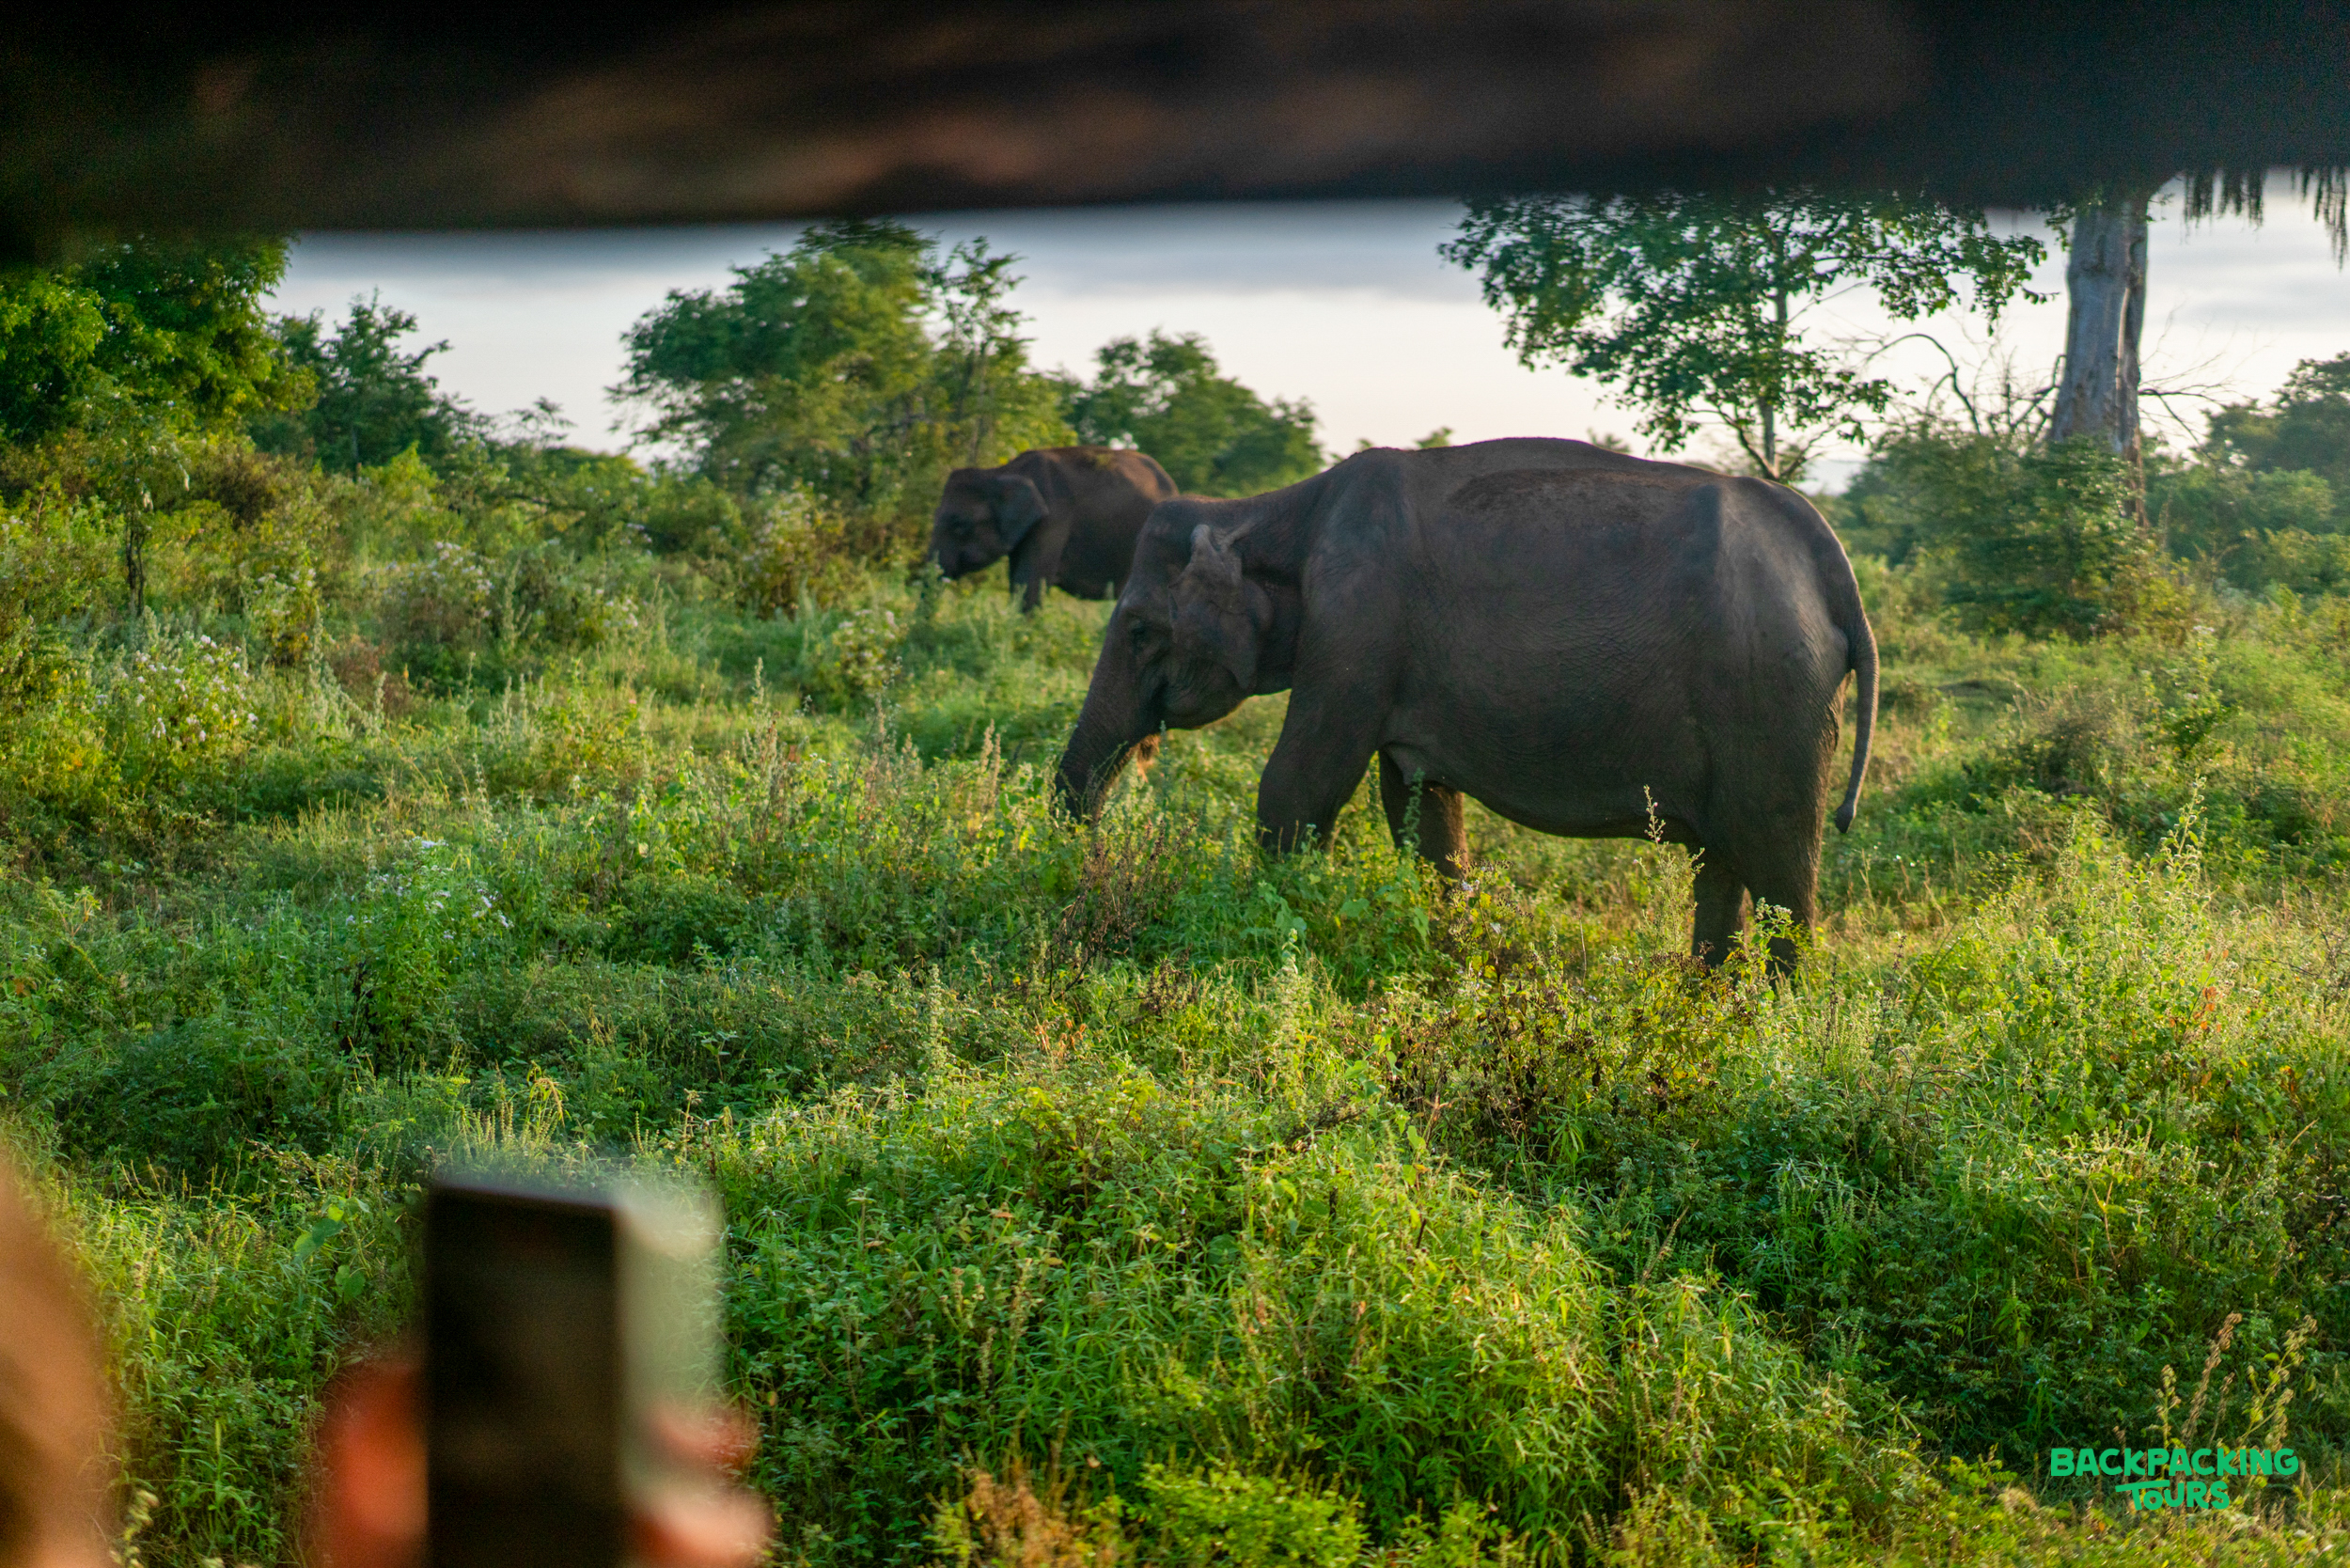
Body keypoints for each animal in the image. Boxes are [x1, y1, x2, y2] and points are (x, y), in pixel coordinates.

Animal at [1055, 438, 1878, 965]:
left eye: (1137, 629)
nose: (1084, 860)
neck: (1276, 508)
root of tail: (1833, 567)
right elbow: (1420, 809)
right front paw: (1448, 964)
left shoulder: (1354, 626)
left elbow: (1300, 782)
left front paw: (1281, 928)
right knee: (1723, 866)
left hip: (1772, 700)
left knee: (1779, 873)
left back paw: (1774, 1035)